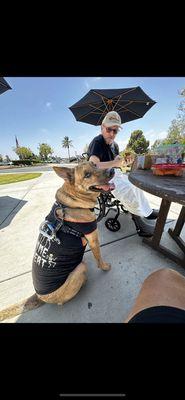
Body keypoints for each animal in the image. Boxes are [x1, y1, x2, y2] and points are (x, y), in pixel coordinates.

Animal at [0, 161, 115, 320]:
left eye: (95, 164)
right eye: (87, 175)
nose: (112, 170)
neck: (73, 202)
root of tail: (38, 296)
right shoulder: (93, 239)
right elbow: (99, 257)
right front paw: (104, 267)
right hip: (80, 269)